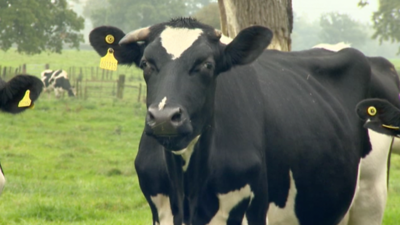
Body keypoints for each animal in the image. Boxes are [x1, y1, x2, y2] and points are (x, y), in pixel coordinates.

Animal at [90, 18, 372, 225]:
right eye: (146, 63)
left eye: (206, 64)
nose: (164, 118)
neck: (188, 195)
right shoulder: (160, 211)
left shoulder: (252, 209)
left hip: (369, 196)